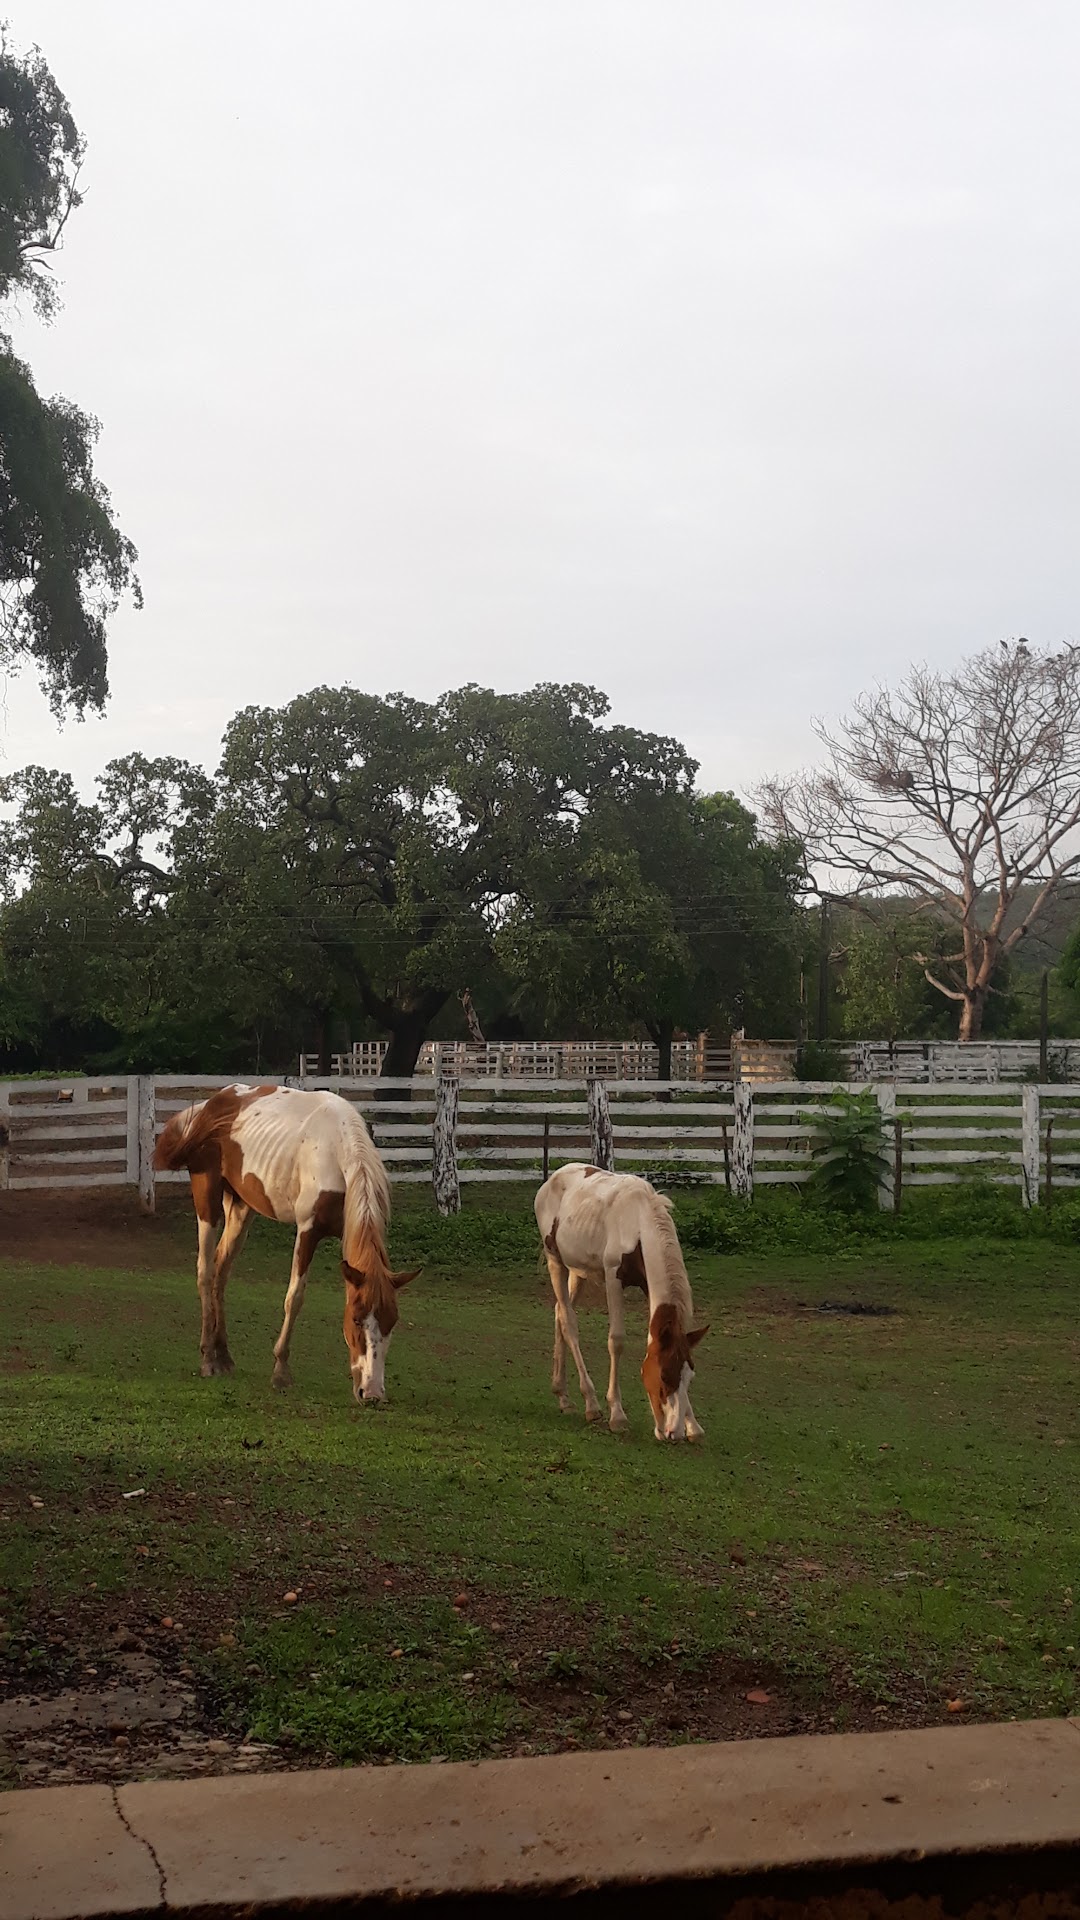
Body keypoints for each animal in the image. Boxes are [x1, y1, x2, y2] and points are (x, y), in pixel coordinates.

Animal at [151, 1090, 417, 1405]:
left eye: (393, 1321)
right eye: (355, 1319)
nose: (373, 1393)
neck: (338, 1153)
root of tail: (213, 1103)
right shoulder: (307, 1231)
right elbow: (295, 1297)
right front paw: (280, 1372)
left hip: (241, 1207)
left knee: (221, 1271)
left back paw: (223, 1355)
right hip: (207, 1199)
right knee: (205, 1271)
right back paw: (208, 1359)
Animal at [530, 1152, 707, 1443]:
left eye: (689, 1375)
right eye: (663, 1376)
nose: (673, 1432)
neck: (638, 1222)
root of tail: (552, 1180)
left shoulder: (648, 1284)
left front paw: (693, 1424)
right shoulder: (614, 1277)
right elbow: (616, 1341)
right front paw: (617, 1415)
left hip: (577, 1271)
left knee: (559, 1312)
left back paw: (563, 1396)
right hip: (556, 1261)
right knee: (569, 1321)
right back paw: (590, 1404)